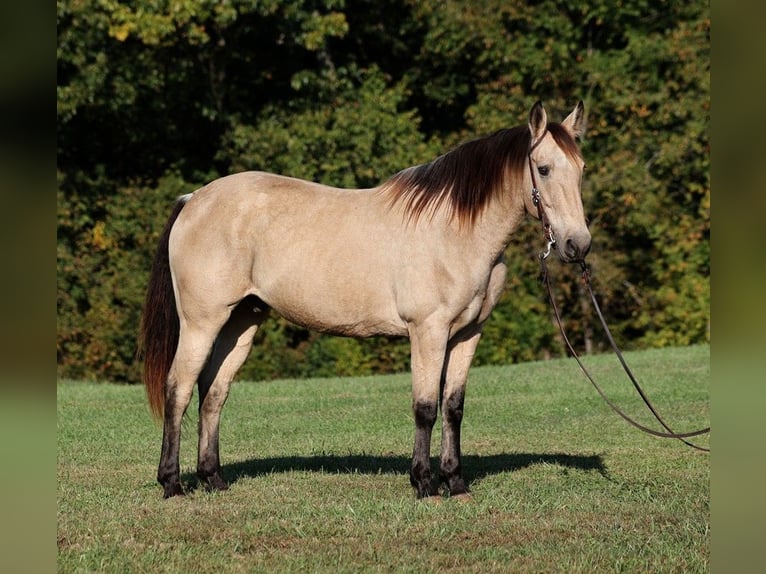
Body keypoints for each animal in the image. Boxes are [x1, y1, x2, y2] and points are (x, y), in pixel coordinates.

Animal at [141, 101, 592, 502]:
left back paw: (213, 479)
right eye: (544, 169)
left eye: (582, 169)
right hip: (202, 322)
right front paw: (425, 486)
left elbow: (453, 407)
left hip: (241, 322)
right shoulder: (427, 331)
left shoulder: (467, 335)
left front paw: (457, 484)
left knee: (214, 392)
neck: (455, 230)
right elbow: (425, 407)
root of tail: (193, 200)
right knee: (179, 389)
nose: (578, 245)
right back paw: (172, 485)